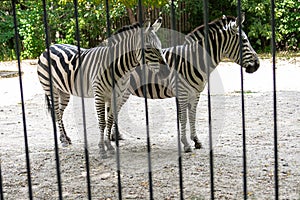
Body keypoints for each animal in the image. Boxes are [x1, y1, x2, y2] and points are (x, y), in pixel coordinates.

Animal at [37, 17, 169, 158]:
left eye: (160, 46)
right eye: (149, 48)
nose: (167, 72)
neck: (119, 68)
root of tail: (50, 47)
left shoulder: (116, 96)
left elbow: (110, 120)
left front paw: (109, 146)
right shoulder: (99, 95)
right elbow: (102, 122)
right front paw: (101, 148)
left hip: (64, 92)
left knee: (59, 113)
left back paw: (64, 138)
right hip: (51, 89)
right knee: (56, 112)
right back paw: (63, 140)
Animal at [106, 14, 260, 152]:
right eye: (244, 41)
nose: (257, 65)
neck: (194, 61)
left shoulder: (195, 93)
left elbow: (192, 116)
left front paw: (196, 141)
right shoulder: (182, 93)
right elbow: (183, 118)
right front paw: (186, 144)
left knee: (114, 110)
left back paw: (115, 136)